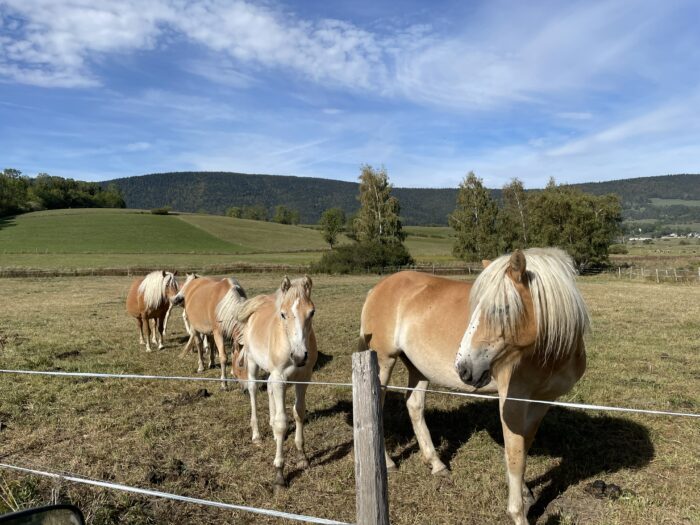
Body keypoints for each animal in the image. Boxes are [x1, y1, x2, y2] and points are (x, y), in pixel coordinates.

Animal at [235, 275, 317, 488]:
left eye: (312, 312)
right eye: (283, 314)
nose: (299, 356)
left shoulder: (303, 379)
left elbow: (298, 413)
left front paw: (302, 456)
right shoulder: (280, 378)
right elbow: (281, 422)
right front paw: (279, 472)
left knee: (270, 392)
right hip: (253, 364)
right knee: (254, 391)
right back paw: (257, 435)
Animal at [359, 248, 589, 525]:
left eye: (501, 309)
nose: (464, 368)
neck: (550, 354)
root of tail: (378, 288)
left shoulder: (542, 402)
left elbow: (523, 446)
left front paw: (525, 491)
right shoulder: (512, 403)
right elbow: (515, 455)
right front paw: (518, 512)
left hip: (418, 367)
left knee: (414, 405)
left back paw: (436, 464)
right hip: (383, 361)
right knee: (377, 408)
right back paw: (388, 463)